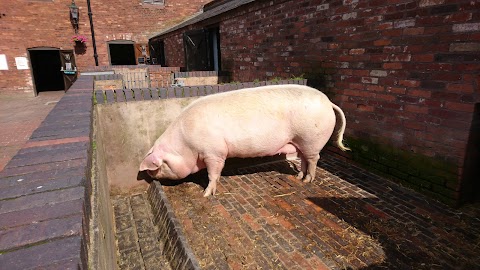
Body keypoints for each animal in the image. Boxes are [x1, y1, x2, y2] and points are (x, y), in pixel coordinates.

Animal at [139, 85, 348, 197]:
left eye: (160, 165)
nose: (149, 177)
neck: (185, 144)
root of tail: (328, 101)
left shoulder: (214, 152)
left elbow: (213, 173)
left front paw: (206, 194)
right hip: (301, 141)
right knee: (304, 159)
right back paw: (299, 178)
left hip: (311, 139)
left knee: (314, 159)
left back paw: (308, 181)